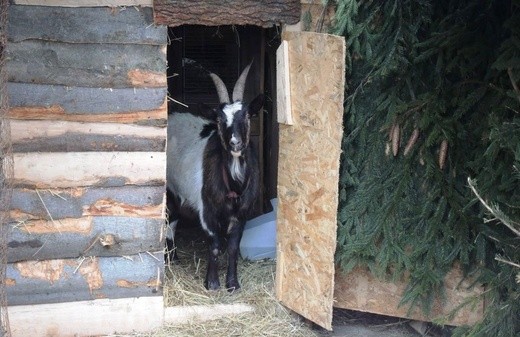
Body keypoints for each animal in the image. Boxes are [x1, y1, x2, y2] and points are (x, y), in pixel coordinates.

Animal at [168, 62, 264, 288]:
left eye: (247, 115)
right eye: (220, 119)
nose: (235, 142)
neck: (233, 184)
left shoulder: (242, 213)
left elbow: (232, 247)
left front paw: (233, 284)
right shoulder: (207, 211)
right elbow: (214, 245)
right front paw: (212, 283)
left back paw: (174, 259)